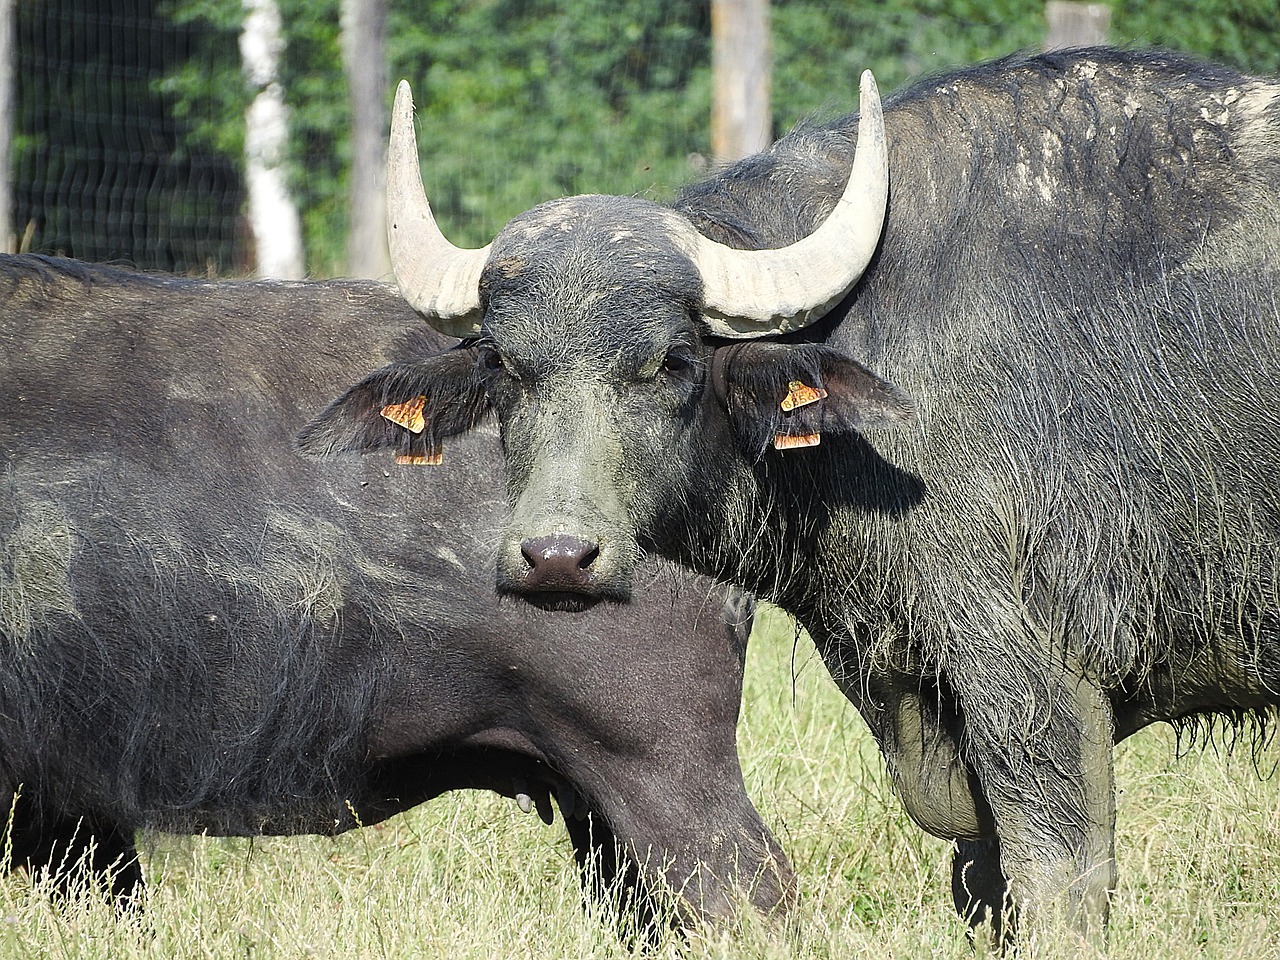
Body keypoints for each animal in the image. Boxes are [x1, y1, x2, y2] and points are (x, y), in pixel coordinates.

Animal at [304, 48, 1280, 942]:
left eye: (672, 361)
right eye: (505, 366)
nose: (555, 557)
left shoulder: (1032, 664)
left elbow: (1056, 871)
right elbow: (982, 877)